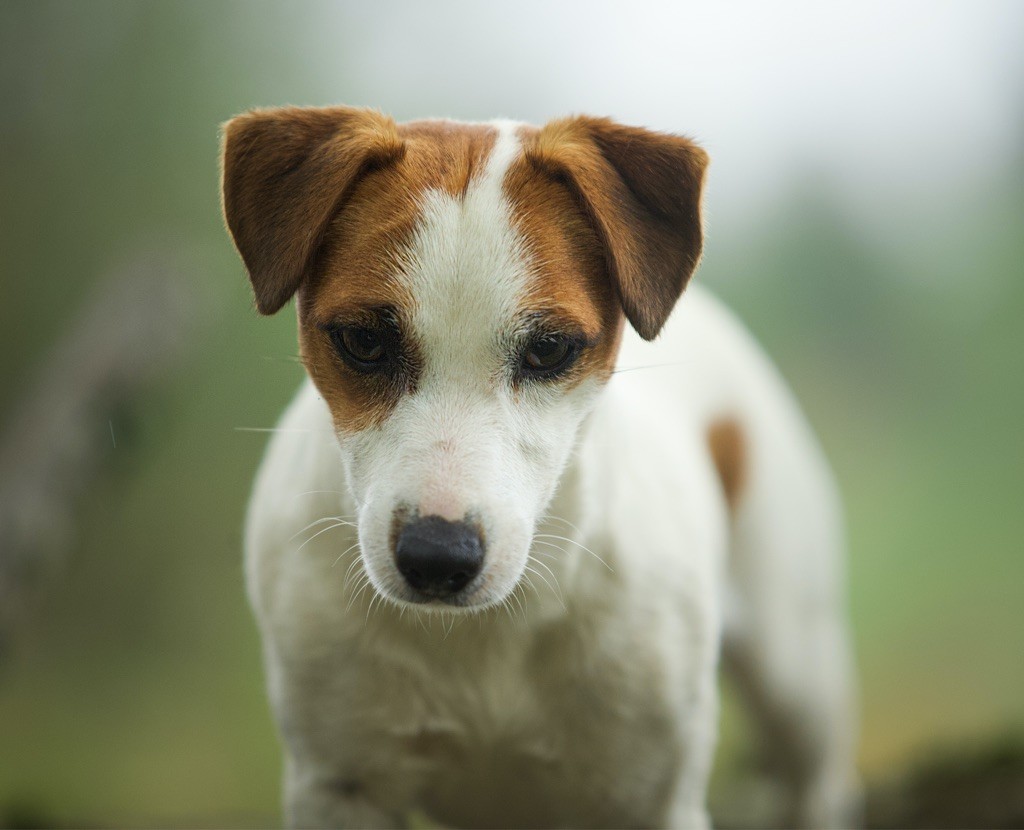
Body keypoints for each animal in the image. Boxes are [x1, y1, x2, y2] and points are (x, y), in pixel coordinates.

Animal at [220, 106, 860, 826]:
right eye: (363, 340)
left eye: (550, 348)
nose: (437, 556)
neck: (492, 634)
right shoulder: (341, 786)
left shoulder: (655, 799)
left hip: (797, 674)